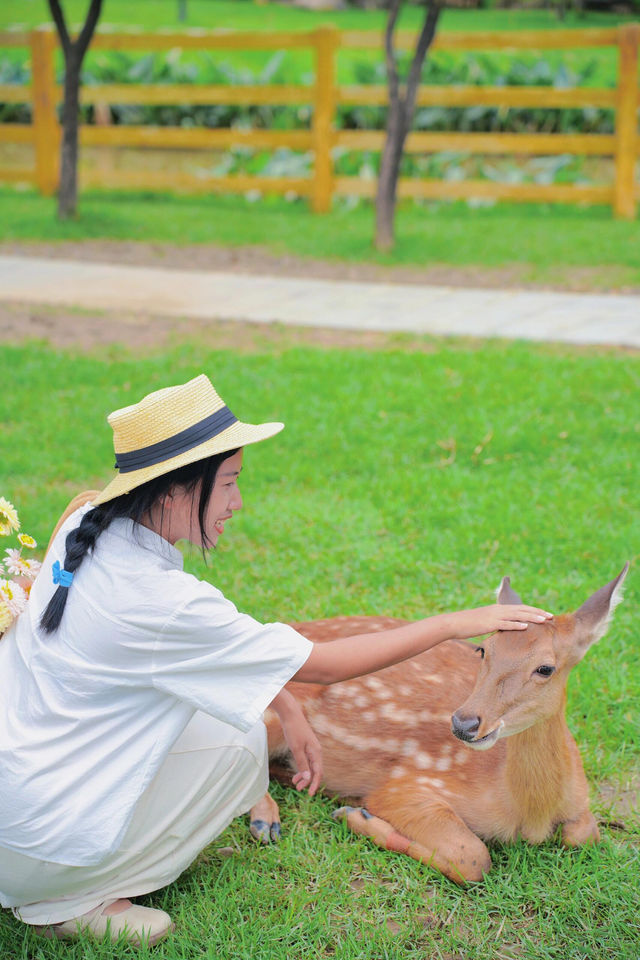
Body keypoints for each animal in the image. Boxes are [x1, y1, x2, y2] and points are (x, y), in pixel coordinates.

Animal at [262, 568, 632, 888]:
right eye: (482, 648)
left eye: (546, 668)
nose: (464, 723)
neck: (528, 814)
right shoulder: (408, 784)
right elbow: (473, 857)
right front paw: (356, 816)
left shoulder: (581, 798)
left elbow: (585, 835)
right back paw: (268, 819)